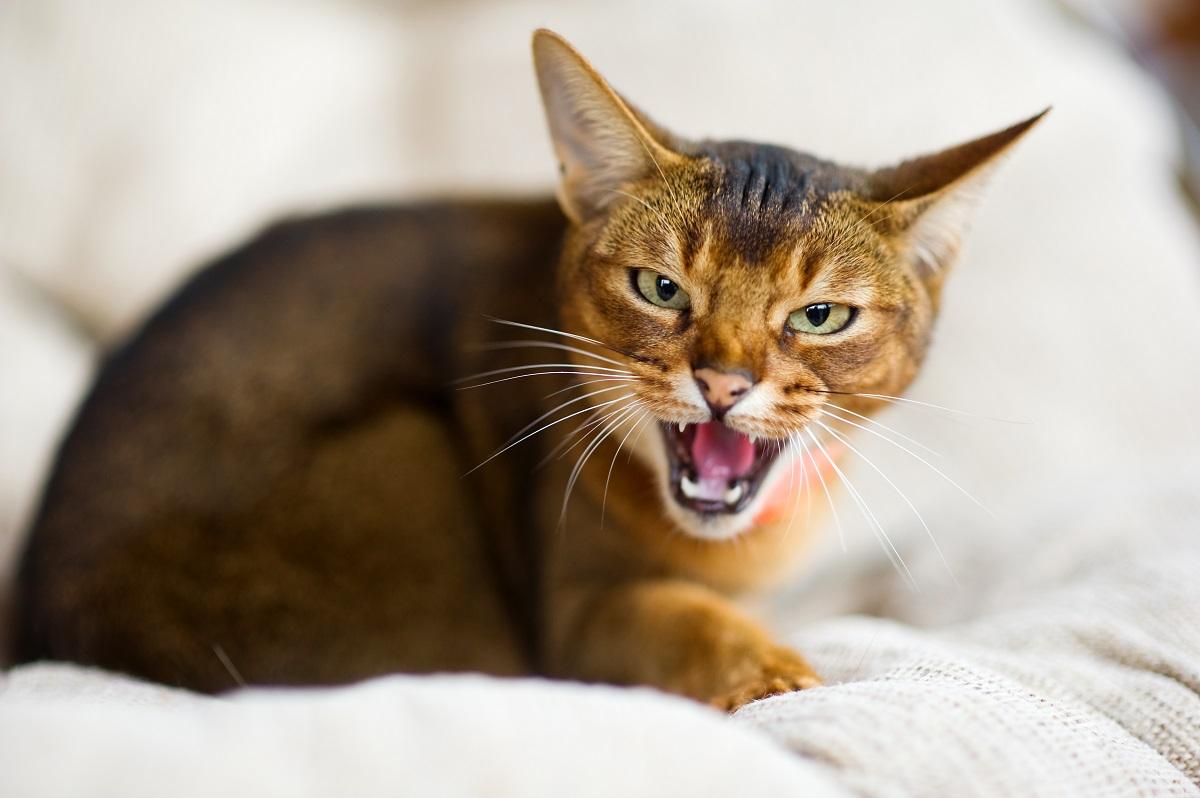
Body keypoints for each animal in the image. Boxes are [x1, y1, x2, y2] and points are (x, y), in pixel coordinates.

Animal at [7, 31, 1041, 705]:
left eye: (820, 317)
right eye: (661, 288)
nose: (723, 384)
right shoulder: (573, 613)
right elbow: (680, 618)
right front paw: (770, 672)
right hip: (406, 462)